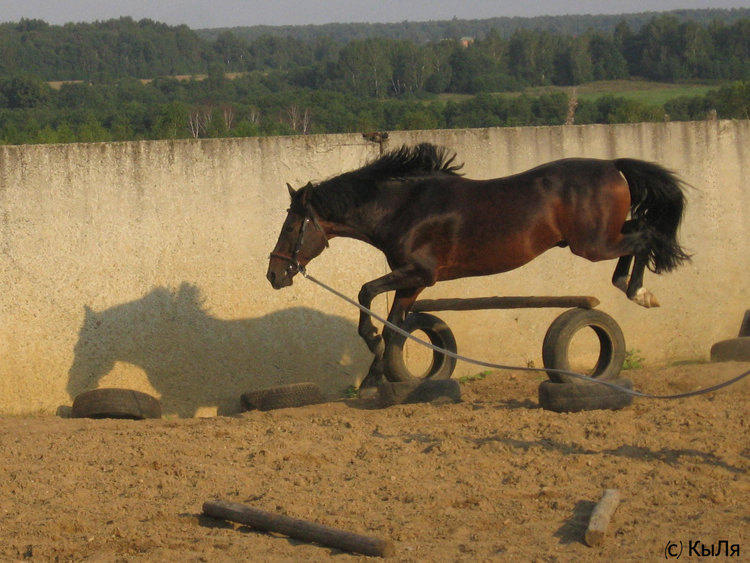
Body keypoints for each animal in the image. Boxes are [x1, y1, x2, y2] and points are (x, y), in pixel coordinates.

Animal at [268, 141, 692, 388]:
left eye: (290, 227)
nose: (274, 274)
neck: (405, 208)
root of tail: (612, 165)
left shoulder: (420, 274)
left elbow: (366, 293)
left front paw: (371, 344)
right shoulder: (411, 283)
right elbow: (393, 327)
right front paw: (374, 379)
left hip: (592, 244)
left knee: (647, 235)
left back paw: (639, 292)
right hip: (600, 238)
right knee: (639, 230)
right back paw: (630, 286)